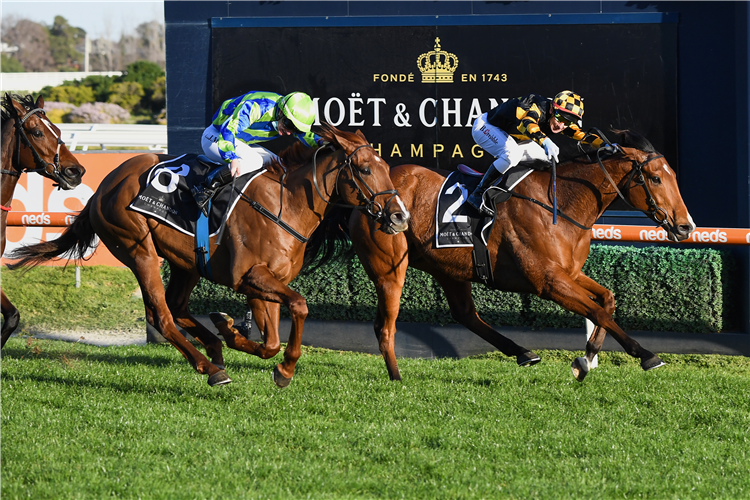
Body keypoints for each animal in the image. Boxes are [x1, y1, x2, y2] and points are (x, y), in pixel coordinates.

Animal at [8, 125, 412, 386]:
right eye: (364, 169)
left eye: (386, 168)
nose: (399, 216)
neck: (287, 203)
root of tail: (103, 187)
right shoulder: (248, 277)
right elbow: (299, 306)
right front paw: (284, 369)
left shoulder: (266, 283)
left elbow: (271, 342)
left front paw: (236, 334)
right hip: (138, 249)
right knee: (161, 314)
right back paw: (210, 367)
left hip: (185, 262)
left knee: (176, 305)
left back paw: (216, 346)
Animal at [346, 130, 692, 382]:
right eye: (656, 178)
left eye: (674, 176)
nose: (686, 226)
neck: (559, 205)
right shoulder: (548, 282)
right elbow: (599, 312)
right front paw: (645, 354)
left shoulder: (569, 273)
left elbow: (606, 300)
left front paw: (588, 356)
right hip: (390, 268)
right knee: (386, 326)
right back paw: (395, 376)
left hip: (446, 266)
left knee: (465, 314)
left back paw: (523, 352)